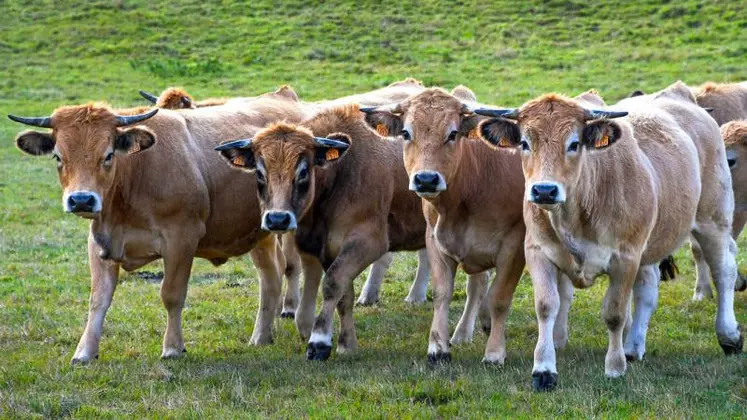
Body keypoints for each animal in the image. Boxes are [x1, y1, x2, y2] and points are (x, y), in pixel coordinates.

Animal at [9, 92, 306, 364]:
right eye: (58, 157)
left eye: (108, 155)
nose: (81, 199)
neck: (135, 176)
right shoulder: (100, 242)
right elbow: (98, 299)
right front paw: (84, 352)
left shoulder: (181, 239)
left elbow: (171, 294)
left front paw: (173, 347)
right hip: (261, 234)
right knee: (271, 276)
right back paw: (261, 336)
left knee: (289, 269)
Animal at [358, 86, 544, 364]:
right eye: (406, 133)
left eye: (453, 133)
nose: (426, 179)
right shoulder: (436, 241)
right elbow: (442, 293)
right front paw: (438, 347)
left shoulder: (513, 247)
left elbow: (500, 298)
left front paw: (494, 352)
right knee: (477, 287)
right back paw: (464, 333)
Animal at [476, 82, 744, 394]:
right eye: (524, 143)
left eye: (574, 143)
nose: (544, 190)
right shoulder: (538, 252)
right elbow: (546, 306)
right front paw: (544, 369)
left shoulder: (625, 258)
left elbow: (615, 313)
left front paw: (614, 367)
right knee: (647, 289)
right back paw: (634, 346)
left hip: (713, 219)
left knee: (723, 271)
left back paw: (728, 335)